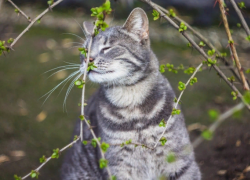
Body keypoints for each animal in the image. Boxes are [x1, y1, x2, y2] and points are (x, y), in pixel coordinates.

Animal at [61, 7, 202, 180]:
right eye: (85, 51)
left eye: (107, 48)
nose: (88, 60)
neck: (132, 104)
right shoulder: (119, 166)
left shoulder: (181, 164)